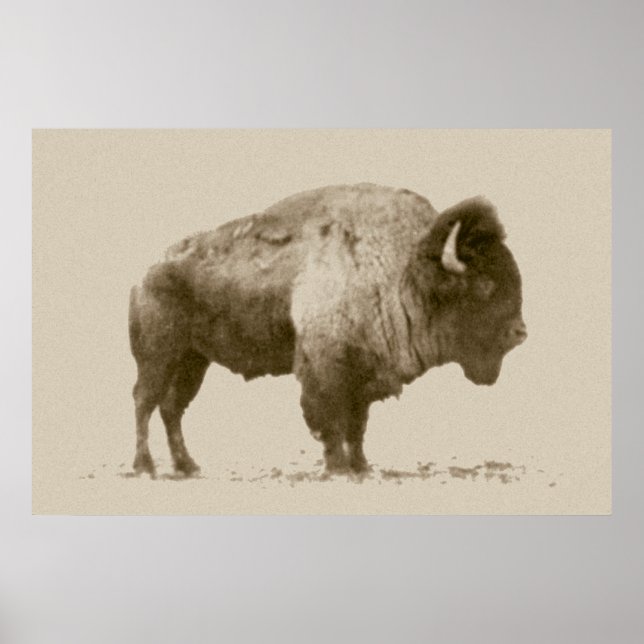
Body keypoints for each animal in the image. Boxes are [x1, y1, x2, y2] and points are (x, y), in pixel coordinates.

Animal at [129, 183, 526, 477]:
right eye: (484, 285)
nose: (520, 332)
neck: (403, 272)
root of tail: (146, 274)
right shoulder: (325, 370)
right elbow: (330, 420)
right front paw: (338, 469)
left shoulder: (363, 377)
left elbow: (357, 425)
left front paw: (362, 467)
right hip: (158, 357)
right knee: (145, 402)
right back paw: (145, 466)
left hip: (193, 361)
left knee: (172, 408)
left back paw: (187, 466)